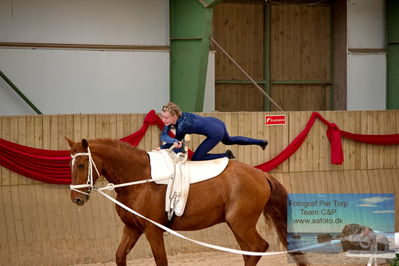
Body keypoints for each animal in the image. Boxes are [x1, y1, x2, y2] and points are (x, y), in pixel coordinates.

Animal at [67, 138, 292, 264]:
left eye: (81, 165)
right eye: (70, 164)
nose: (76, 198)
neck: (139, 178)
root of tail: (261, 174)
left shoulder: (153, 230)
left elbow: (161, 261)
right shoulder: (132, 228)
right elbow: (120, 256)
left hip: (241, 223)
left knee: (258, 247)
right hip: (236, 225)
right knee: (249, 251)